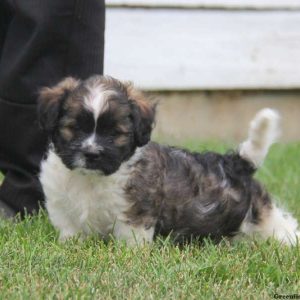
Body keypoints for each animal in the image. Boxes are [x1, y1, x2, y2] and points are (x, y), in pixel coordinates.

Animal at [38, 75, 298, 246]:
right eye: (75, 128)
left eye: (114, 133)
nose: (91, 154)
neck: (91, 180)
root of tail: (235, 163)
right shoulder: (62, 207)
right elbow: (70, 231)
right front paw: (70, 247)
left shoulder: (135, 213)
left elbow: (131, 240)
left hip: (261, 216)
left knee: (281, 226)